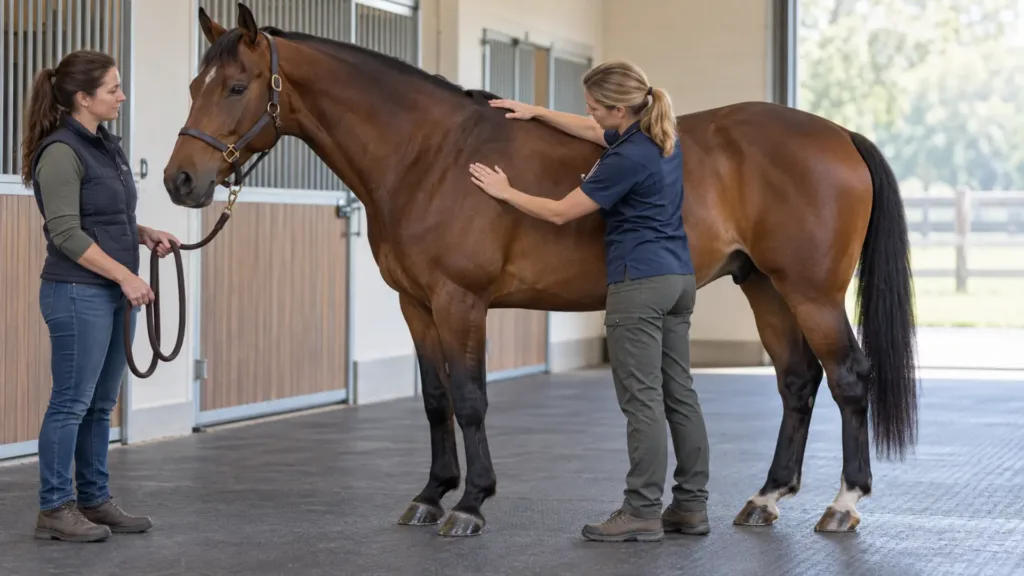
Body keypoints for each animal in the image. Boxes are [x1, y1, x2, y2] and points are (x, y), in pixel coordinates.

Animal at [162, 4, 918, 537]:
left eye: (237, 86)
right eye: (193, 83)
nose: (180, 181)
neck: (429, 154)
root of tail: (837, 134)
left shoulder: (460, 301)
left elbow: (470, 399)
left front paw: (470, 504)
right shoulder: (416, 305)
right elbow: (434, 400)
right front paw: (429, 495)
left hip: (810, 292)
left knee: (849, 378)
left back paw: (844, 505)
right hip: (763, 285)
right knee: (797, 381)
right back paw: (765, 499)